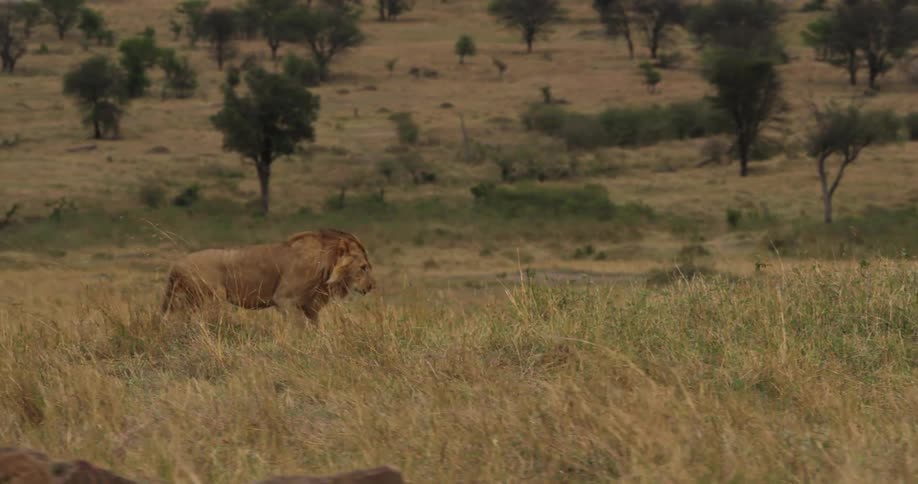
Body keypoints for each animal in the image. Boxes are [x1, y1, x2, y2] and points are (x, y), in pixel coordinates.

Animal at [160, 229, 375, 325]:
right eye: (363, 267)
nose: (371, 287)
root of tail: (175, 265)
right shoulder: (284, 299)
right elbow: (298, 326)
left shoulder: (310, 305)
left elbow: (315, 326)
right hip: (212, 299)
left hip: (186, 301)